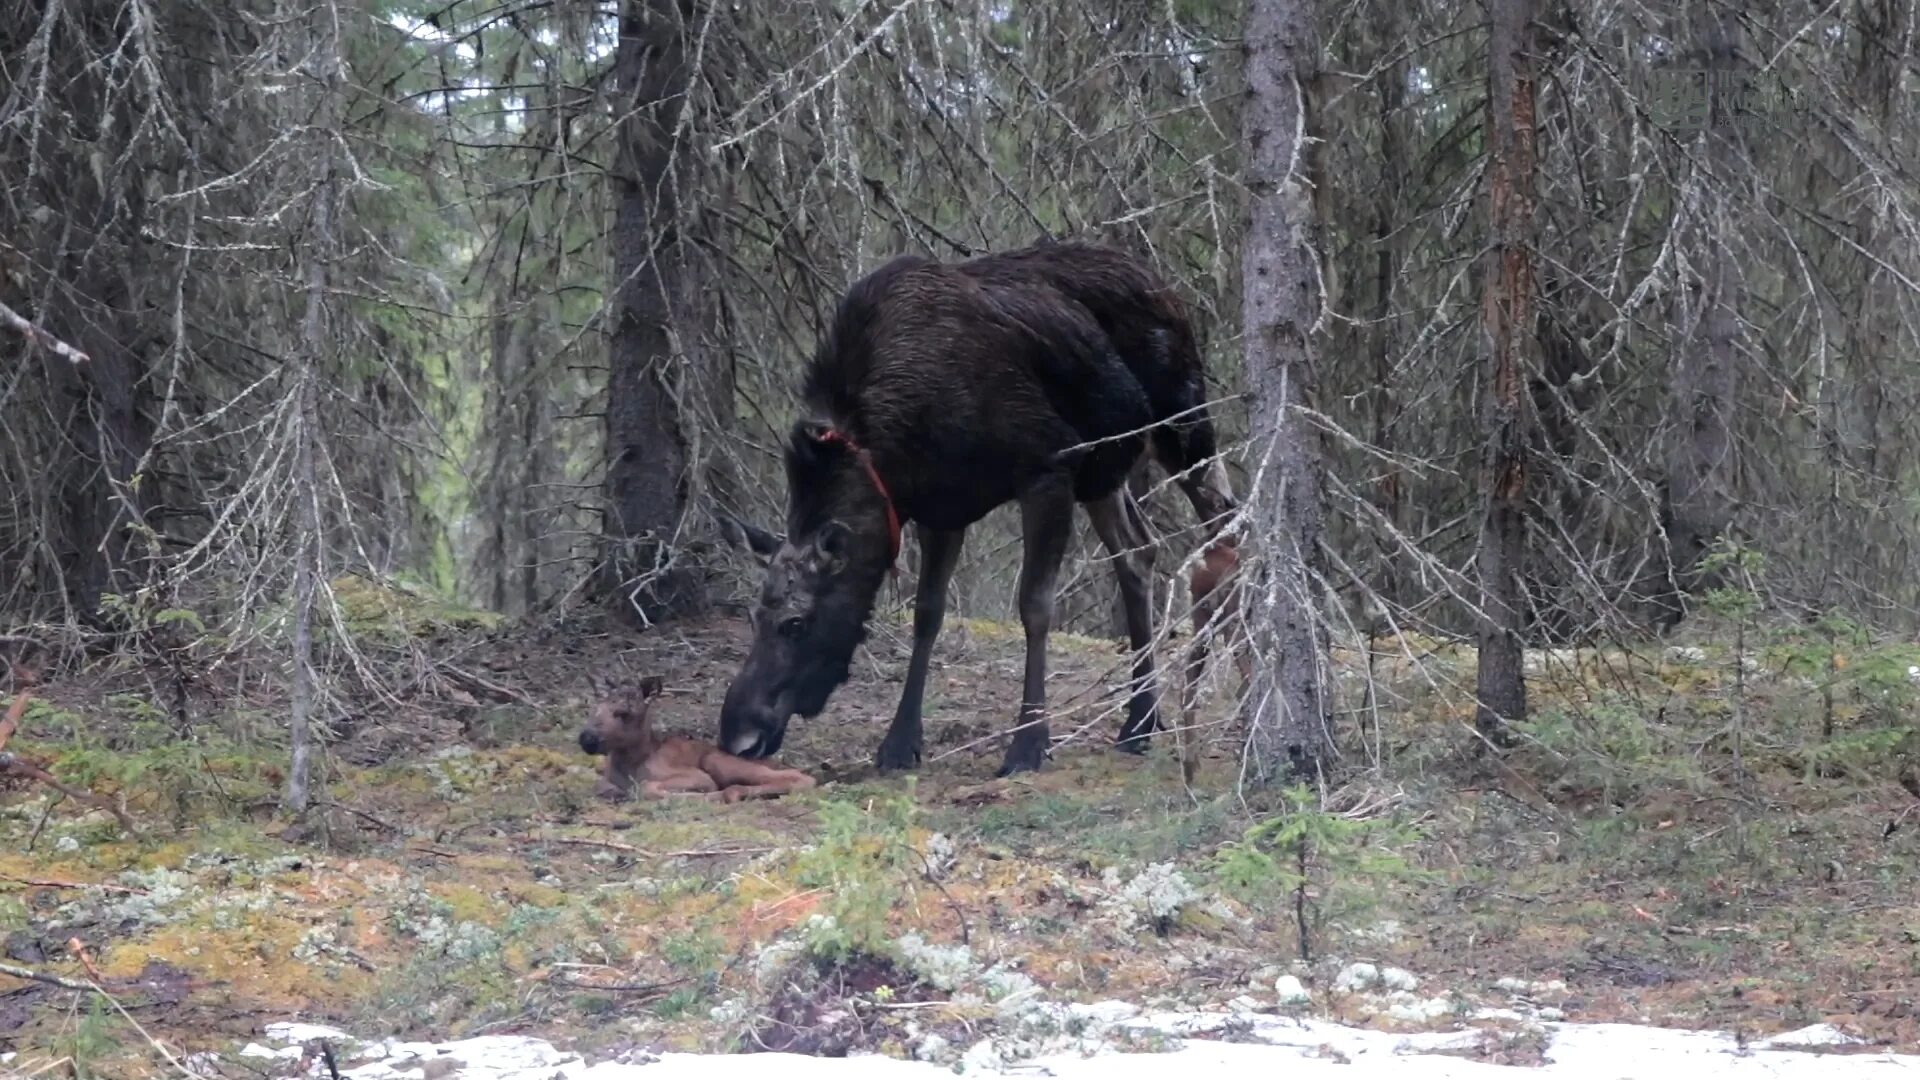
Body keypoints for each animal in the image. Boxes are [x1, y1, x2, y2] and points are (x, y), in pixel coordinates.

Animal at [568, 676, 810, 803]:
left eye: (624, 713)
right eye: (595, 709)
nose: (586, 738)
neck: (629, 765)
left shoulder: (698, 776)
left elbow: (646, 787)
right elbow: (602, 785)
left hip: (717, 761)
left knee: (801, 778)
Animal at [718, 237, 1228, 772]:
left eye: (796, 623)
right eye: (753, 617)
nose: (738, 736)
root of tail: (1162, 285)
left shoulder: (1046, 470)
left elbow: (1034, 607)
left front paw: (1028, 743)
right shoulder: (942, 509)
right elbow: (928, 614)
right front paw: (900, 742)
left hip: (1183, 425)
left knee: (1224, 525)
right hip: (1105, 474)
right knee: (1139, 553)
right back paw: (1140, 720)